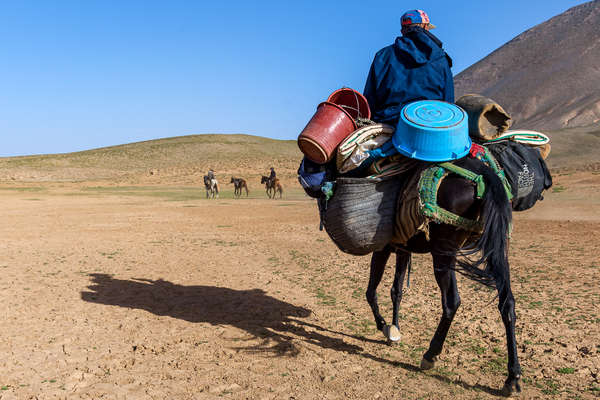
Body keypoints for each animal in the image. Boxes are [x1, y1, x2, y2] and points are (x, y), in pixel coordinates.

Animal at [364, 157, 524, 396]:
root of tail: (484, 174)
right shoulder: (403, 248)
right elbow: (397, 291)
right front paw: (394, 329)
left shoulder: (383, 248)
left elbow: (372, 291)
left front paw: (384, 326)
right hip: (497, 247)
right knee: (507, 303)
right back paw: (512, 378)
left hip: (443, 252)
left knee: (451, 302)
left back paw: (430, 355)